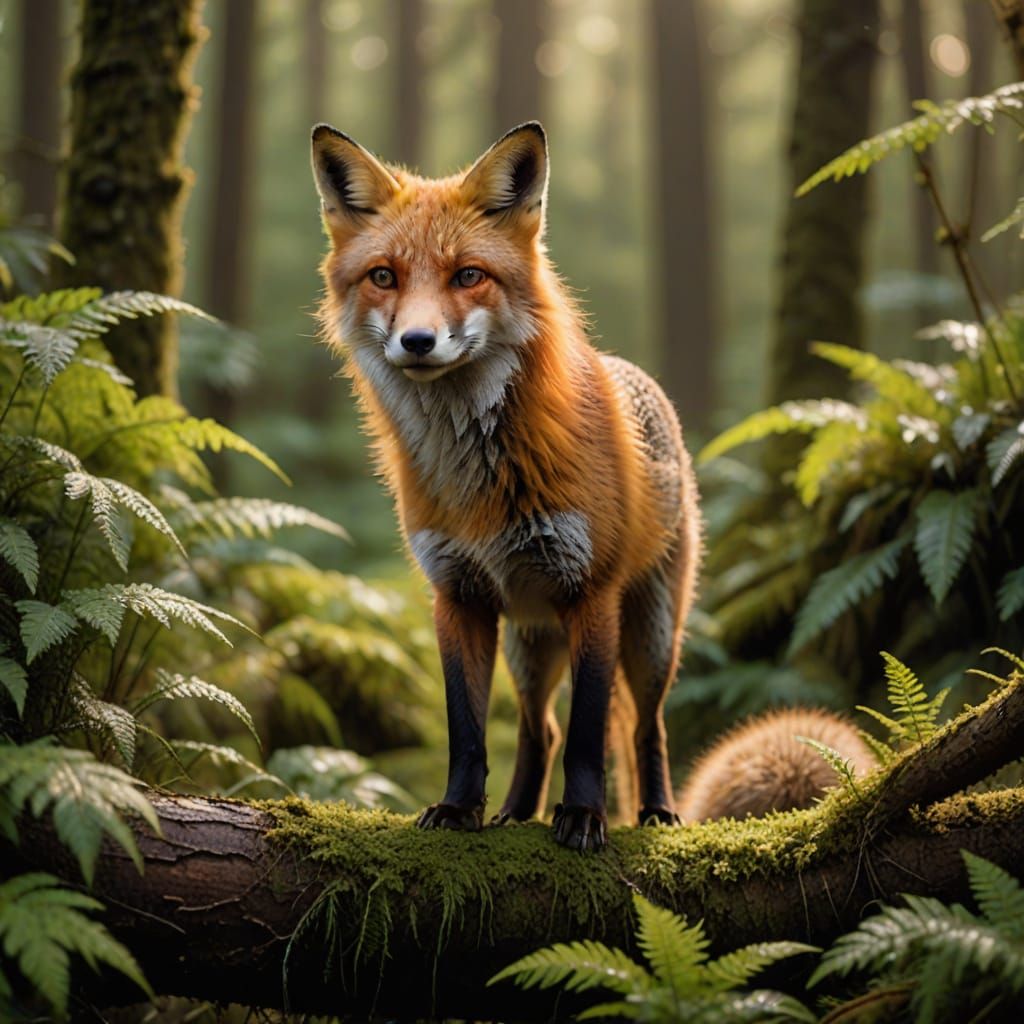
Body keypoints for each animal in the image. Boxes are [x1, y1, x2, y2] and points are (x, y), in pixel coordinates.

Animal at [310, 121, 701, 851]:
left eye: (469, 275)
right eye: (384, 277)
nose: (418, 340)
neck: (481, 485)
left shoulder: (590, 592)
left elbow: (587, 736)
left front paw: (583, 817)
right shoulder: (457, 595)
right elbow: (467, 730)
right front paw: (459, 810)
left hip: (651, 632)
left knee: (645, 726)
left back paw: (657, 811)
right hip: (529, 642)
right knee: (535, 728)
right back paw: (515, 813)